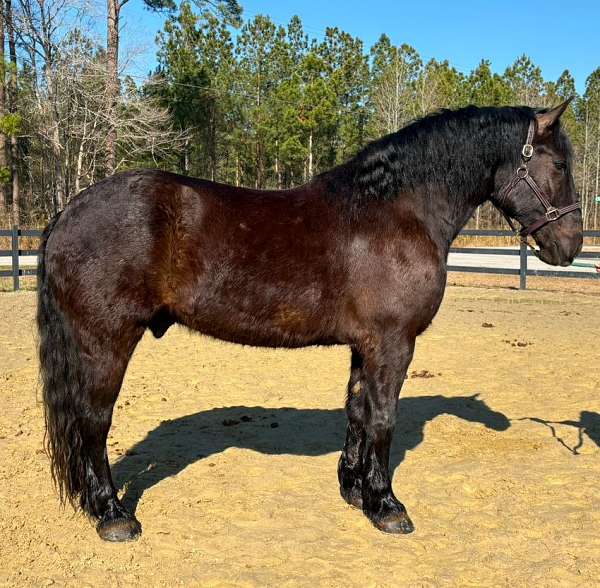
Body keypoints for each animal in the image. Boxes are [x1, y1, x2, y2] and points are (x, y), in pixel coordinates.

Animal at [36, 100, 580, 544]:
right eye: (558, 164)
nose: (571, 245)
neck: (396, 211)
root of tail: (69, 211)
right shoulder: (393, 342)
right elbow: (383, 419)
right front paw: (388, 506)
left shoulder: (366, 346)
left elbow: (358, 413)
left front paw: (356, 492)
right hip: (107, 340)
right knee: (93, 421)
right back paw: (113, 515)